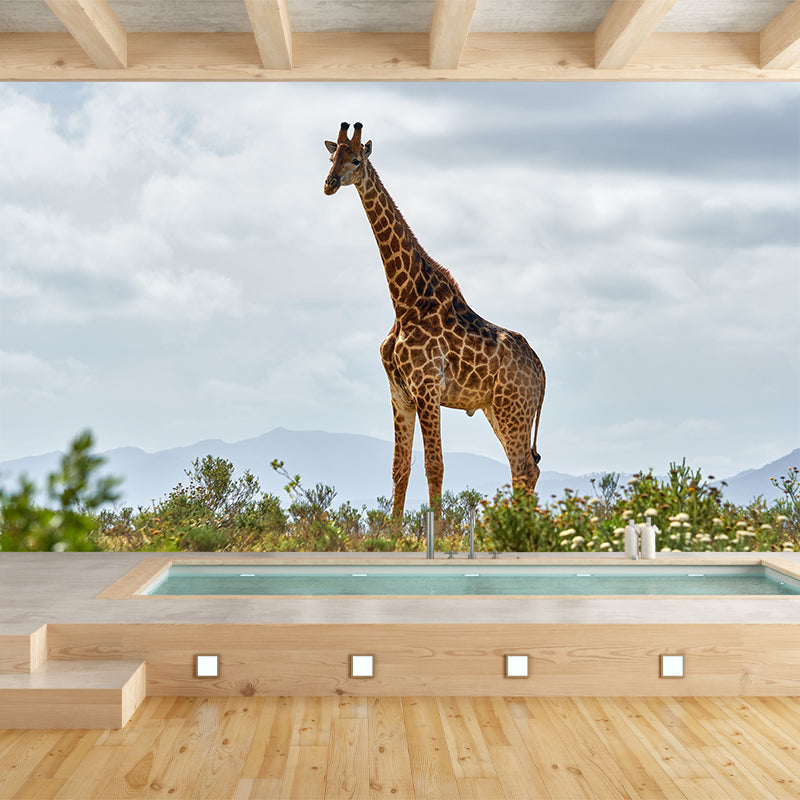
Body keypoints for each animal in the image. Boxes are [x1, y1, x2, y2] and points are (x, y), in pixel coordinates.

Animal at [324, 121, 545, 518]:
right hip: (497, 409)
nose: (329, 183)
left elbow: (434, 466)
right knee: (525, 468)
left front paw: (435, 532)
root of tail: (541, 370)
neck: (404, 301)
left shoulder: (428, 388)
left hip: (513, 408)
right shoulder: (400, 392)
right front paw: (392, 531)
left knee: (523, 468)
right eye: (332, 157)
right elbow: (400, 467)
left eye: (357, 159)